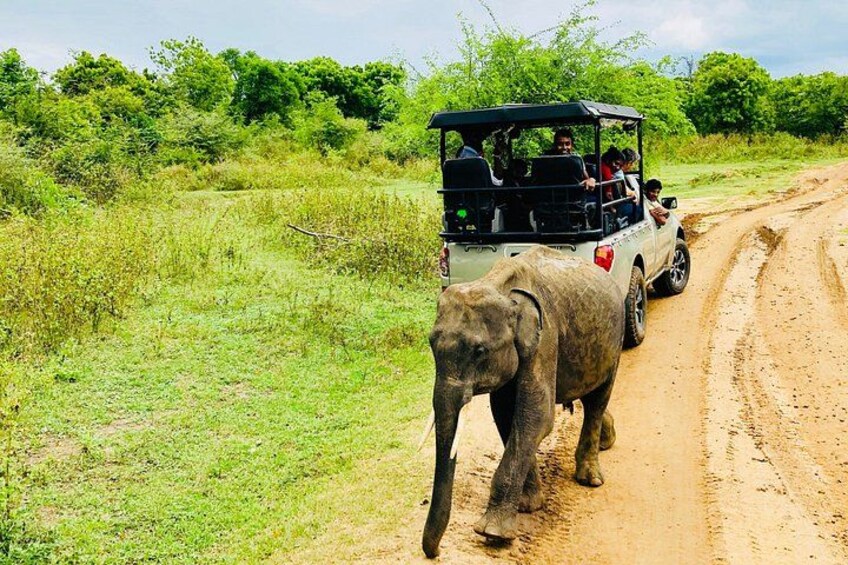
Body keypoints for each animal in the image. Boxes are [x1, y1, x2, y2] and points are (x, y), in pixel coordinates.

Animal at [420, 245, 624, 558]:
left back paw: (590, 478)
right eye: (431, 344)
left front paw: (492, 532)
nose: (435, 553)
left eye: (480, 351)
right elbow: (506, 415)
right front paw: (529, 506)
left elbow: (536, 416)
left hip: (616, 338)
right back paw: (607, 440)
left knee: (597, 400)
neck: (499, 286)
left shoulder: (545, 337)